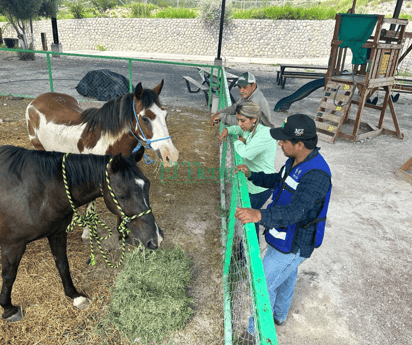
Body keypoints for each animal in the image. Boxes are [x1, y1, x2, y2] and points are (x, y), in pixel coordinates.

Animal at [0, 144, 163, 320]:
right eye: (122, 195)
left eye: (147, 185)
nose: (156, 238)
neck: (38, 192)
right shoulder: (12, 245)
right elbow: (9, 276)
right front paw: (8, 308)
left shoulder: (57, 233)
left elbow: (63, 265)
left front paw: (75, 296)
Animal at [26, 80, 178, 242]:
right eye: (145, 118)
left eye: (165, 115)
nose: (171, 155)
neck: (106, 141)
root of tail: (36, 100)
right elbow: (90, 205)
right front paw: (87, 233)